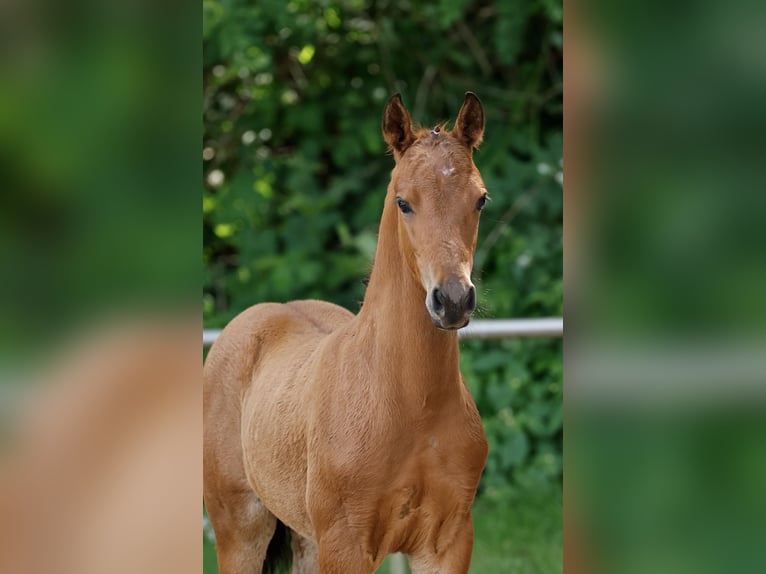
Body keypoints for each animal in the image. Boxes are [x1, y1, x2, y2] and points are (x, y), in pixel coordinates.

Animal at [204, 92, 490, 574]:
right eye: (403, 202)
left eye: (481, 200)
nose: (452, 300)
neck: (413, 404)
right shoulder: (346, 546)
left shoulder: (448, 543)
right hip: (240, 530)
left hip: (304, 538)